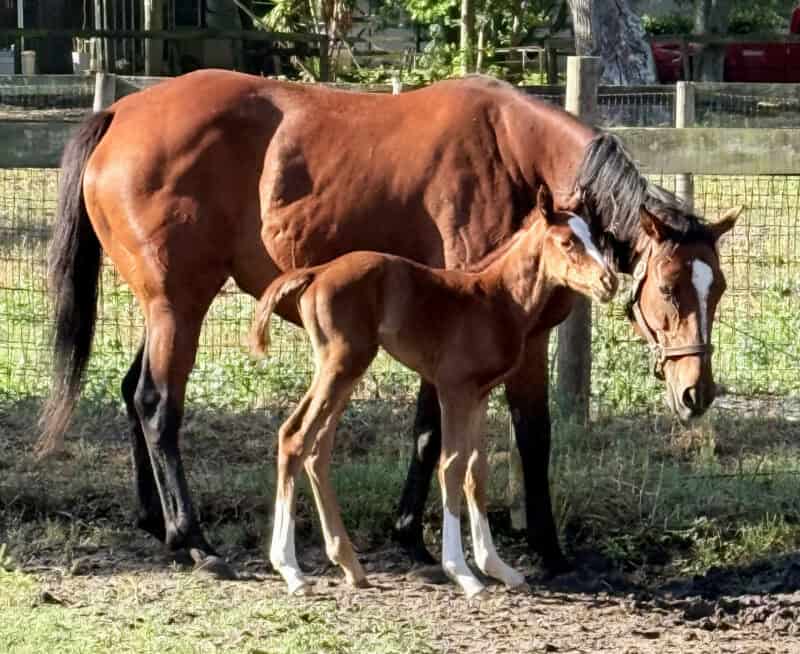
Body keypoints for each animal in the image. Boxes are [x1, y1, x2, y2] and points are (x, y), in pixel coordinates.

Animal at [249, 186, 619, 596]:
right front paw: (462, 572)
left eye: (595, 237)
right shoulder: (454, 389)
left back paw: (349, 564)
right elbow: (452, 465)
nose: (609, 282)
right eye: (568, 242)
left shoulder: (479, 394)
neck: (497, 298)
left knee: (318, 447)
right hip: (341, 365)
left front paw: (497, 567)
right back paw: (291, 570)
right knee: (295, 436)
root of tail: (317, 272)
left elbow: (477, 470)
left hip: (345, 370)